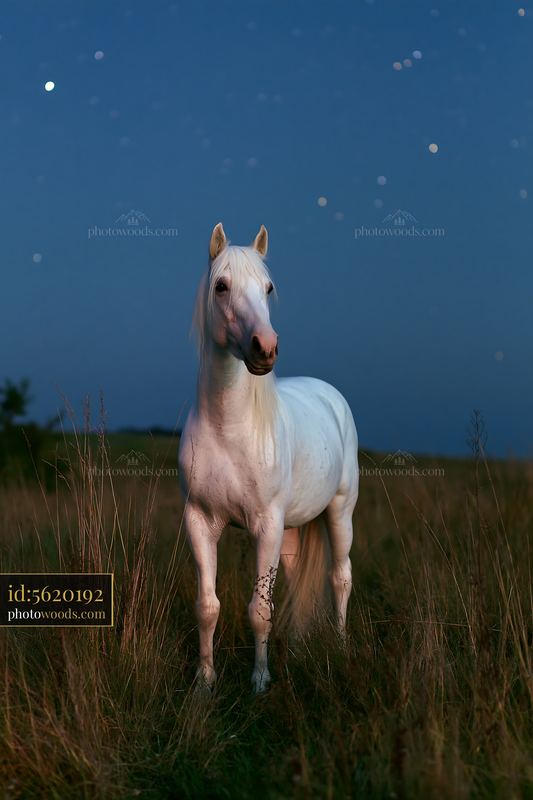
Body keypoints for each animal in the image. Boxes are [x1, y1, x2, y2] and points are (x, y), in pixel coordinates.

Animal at [178, 223, 359, 693]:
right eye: (221, 286)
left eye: (268, 288)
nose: (266, 348)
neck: (229, 429)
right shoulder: (200, 521)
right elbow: (208, 606)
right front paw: (205, 680)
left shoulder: (265, 525)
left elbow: (259, 610)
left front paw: (259, 681)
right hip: (291, 531)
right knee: (296, 581)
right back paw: (294, 649)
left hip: (339, 512)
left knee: (341, 577)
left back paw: (341, 645)